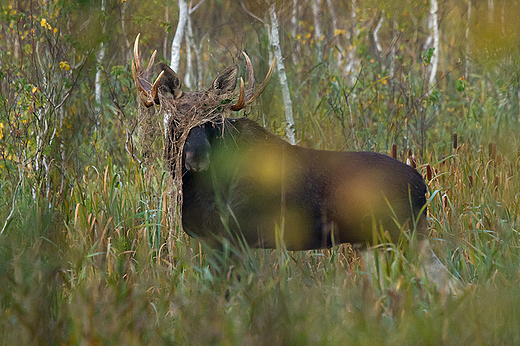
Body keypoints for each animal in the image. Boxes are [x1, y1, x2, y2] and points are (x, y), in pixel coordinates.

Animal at [132, 35, 462, 292]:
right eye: (177, 119)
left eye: (213, 121)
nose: (196, 158)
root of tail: (423, 186)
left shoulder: (234, 237)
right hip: (375, 242)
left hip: (403, 235)